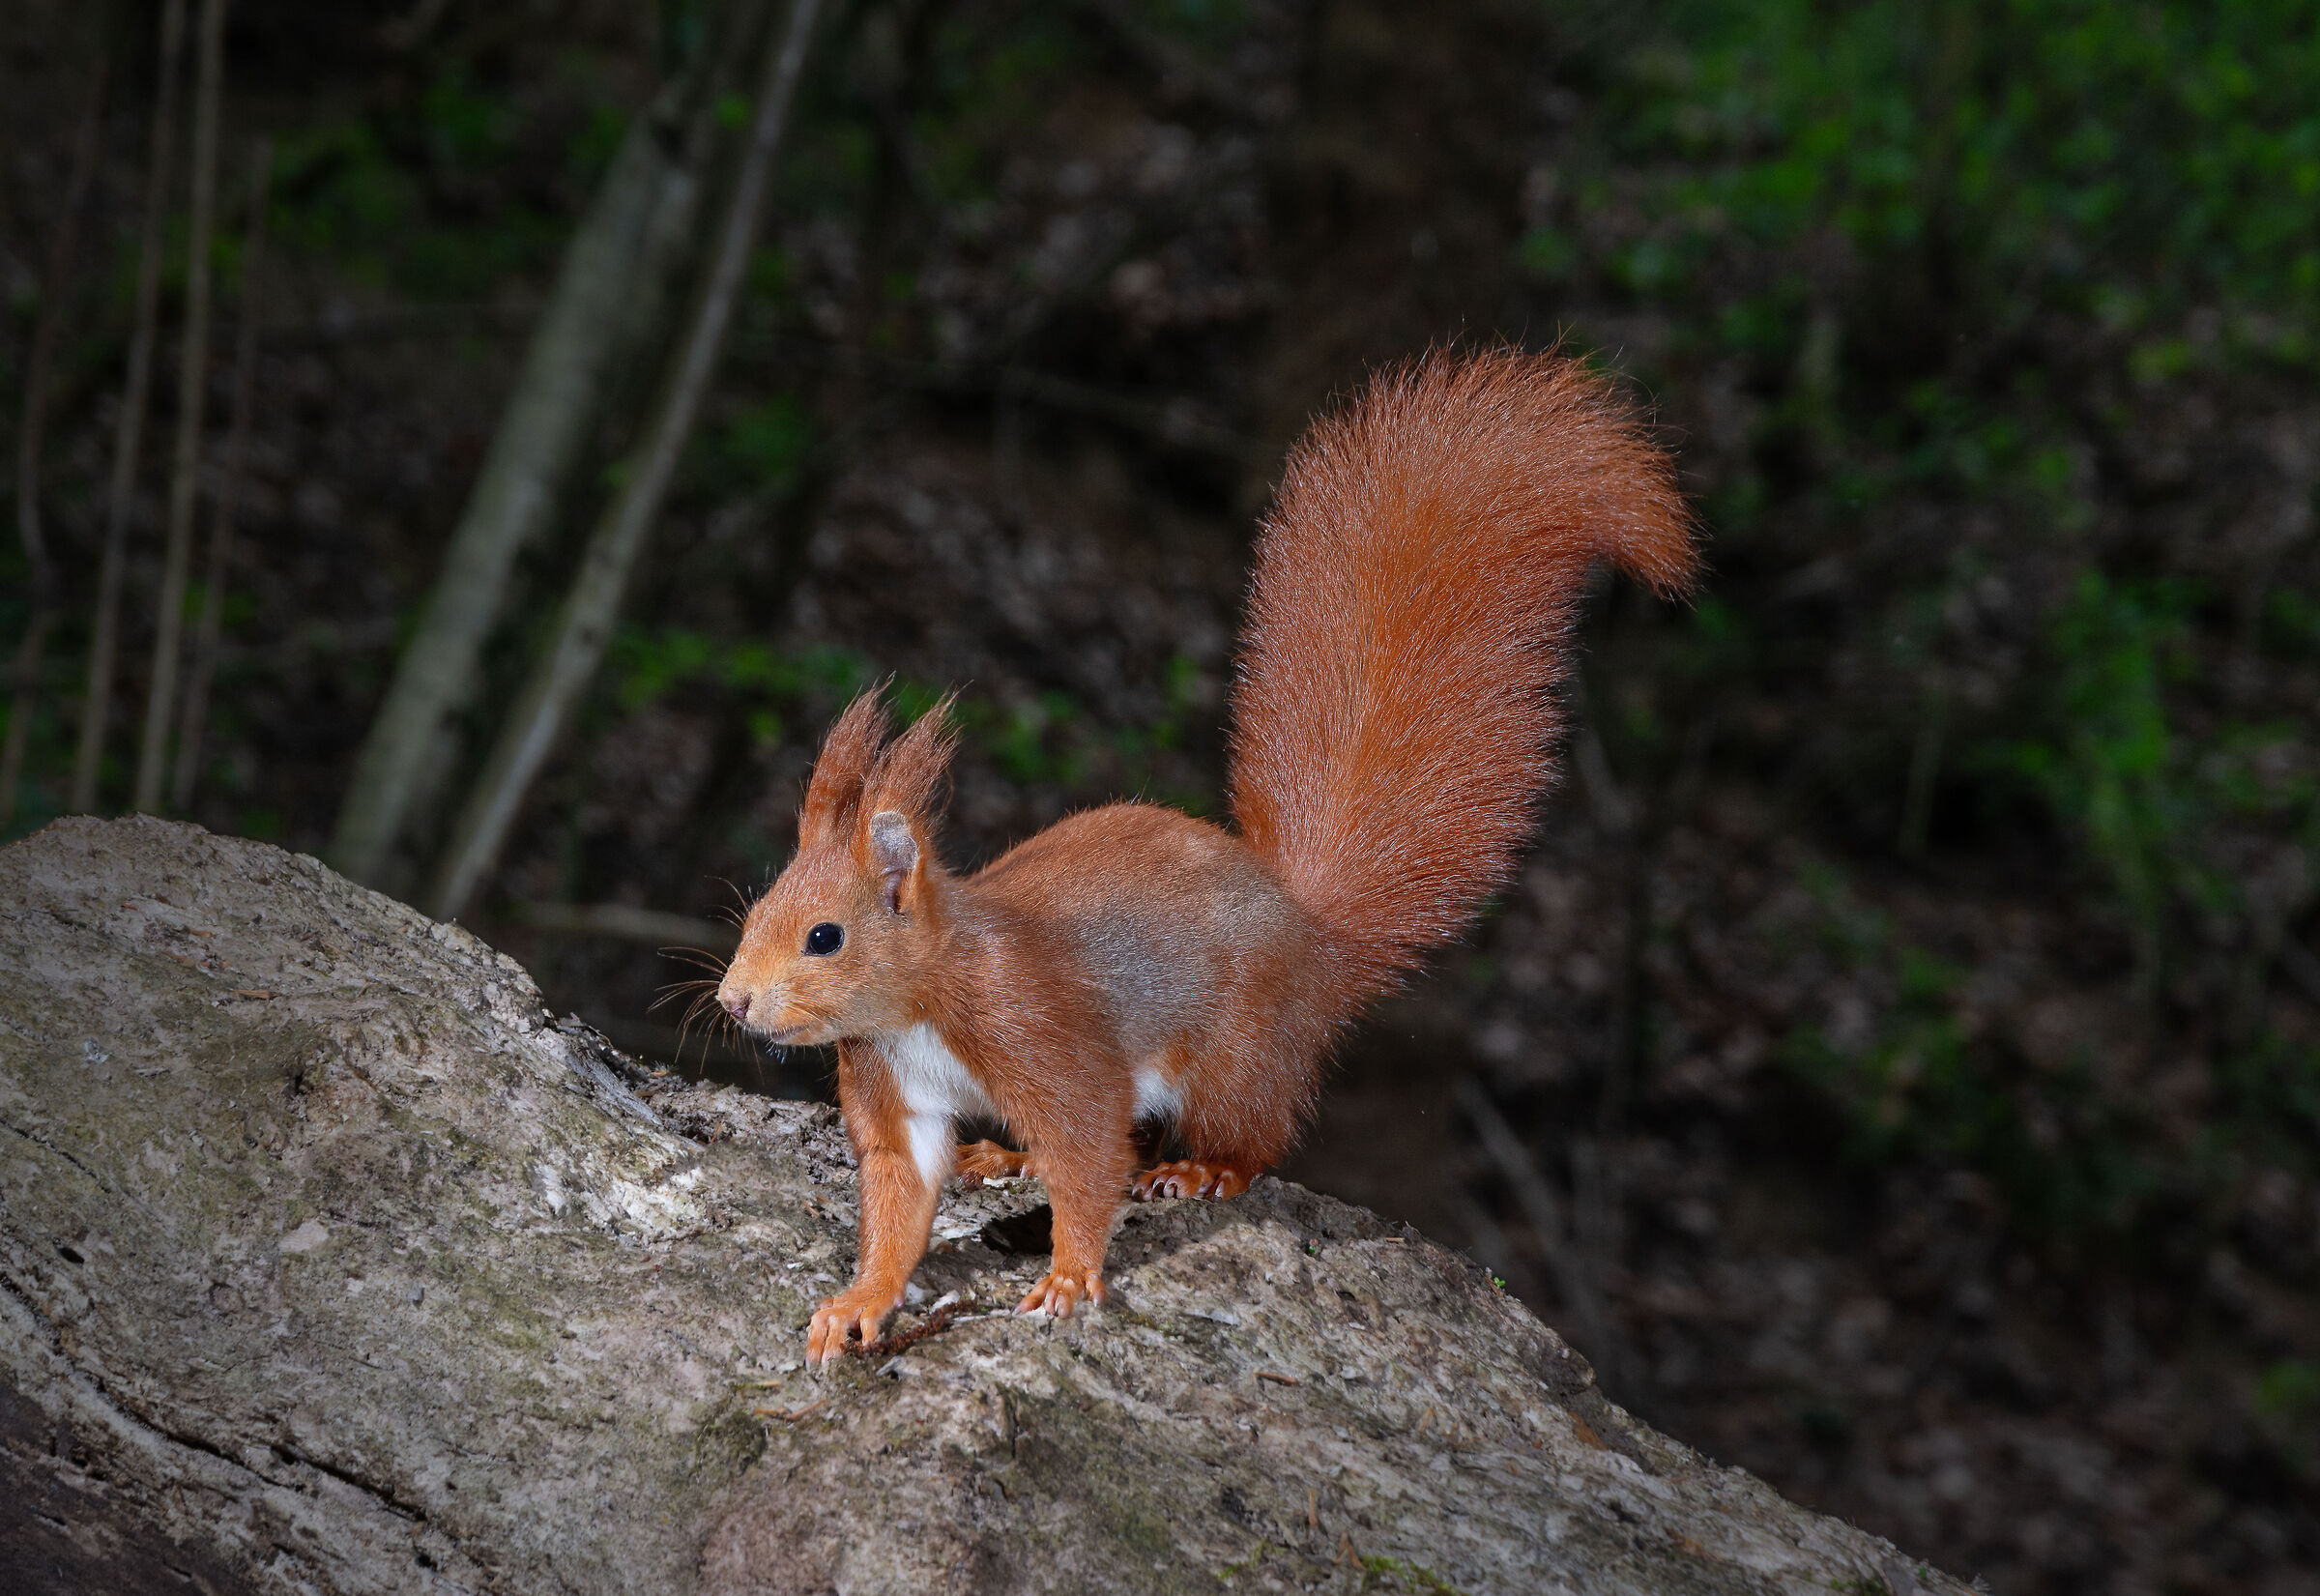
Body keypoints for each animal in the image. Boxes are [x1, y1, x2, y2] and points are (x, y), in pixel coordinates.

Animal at [715, 348, 1696, 1368]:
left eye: (825, 936)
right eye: (753, 913)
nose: (733, 1003)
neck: (921, 1004)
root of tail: (1311, 935)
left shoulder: (1039, 1031)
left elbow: (1087, 1149)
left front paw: (1068, 1276)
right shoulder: (893, 1087)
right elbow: (901, 1200)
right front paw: (860, 1300)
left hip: (1236, 1054)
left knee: (1243, 1135)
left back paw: (1203, 1171)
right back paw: (1006, 1155)